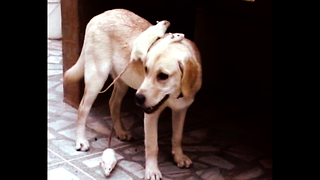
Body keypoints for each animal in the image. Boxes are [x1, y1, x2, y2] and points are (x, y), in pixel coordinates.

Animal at [63, 8, 201, 180]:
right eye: (146, 69)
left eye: (163, 76)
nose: (138, 98)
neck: (175, 95)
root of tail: (99, 16)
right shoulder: (150, 115)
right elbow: (152, 145)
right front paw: (152, 170)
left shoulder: (181, 110)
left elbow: (177, 136)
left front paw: (179, 157)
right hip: (97, 77)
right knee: (83, 108)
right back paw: (81, 140)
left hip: (122, 82)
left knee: (113, 103)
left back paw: (121, 131)